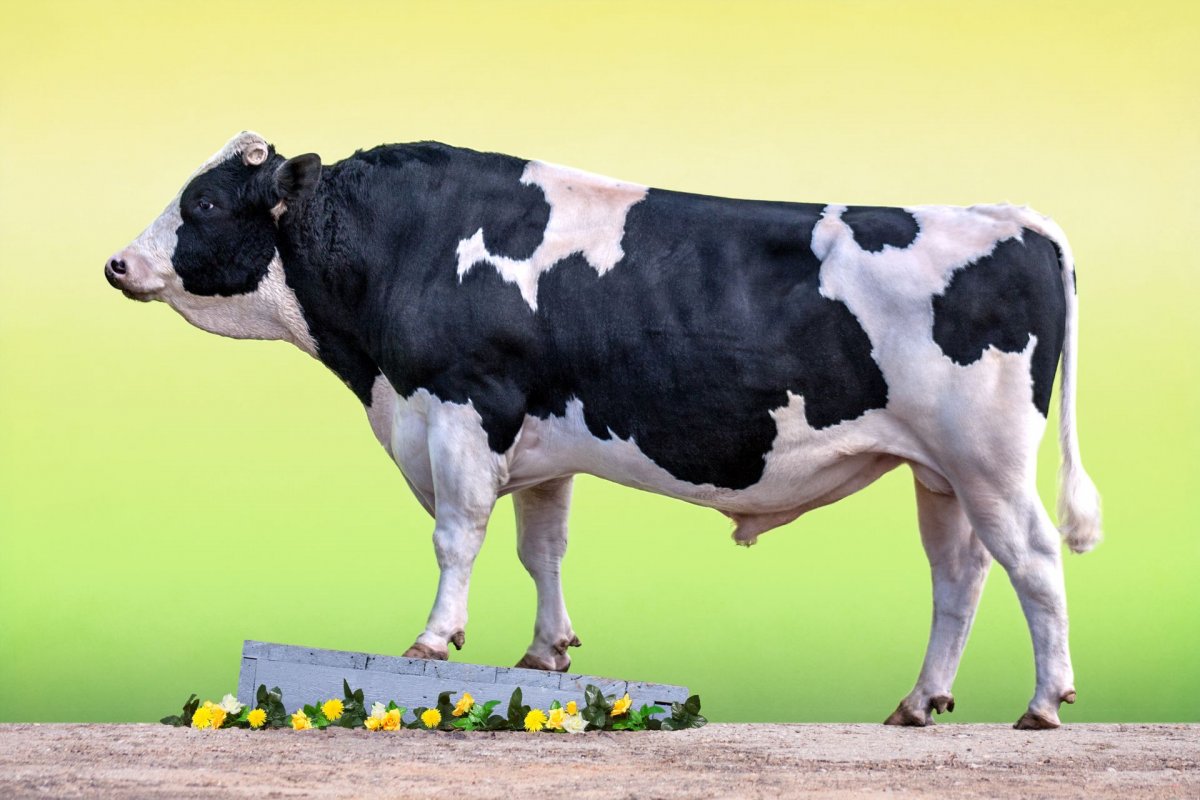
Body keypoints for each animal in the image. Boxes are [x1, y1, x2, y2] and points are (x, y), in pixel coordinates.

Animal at [105, 131, 1101, 729]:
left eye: (202, 205)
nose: (118, 263)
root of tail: (1010, 216)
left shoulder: (463, 409)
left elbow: (457, 537)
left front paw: (433, 639)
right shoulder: (539, 441)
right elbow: (540, 548)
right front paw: (545, 652)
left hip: (989, 460)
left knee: (1034, 559)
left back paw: (1046, 701)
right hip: (941, 473)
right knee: (959, 578)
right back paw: (921, 701)